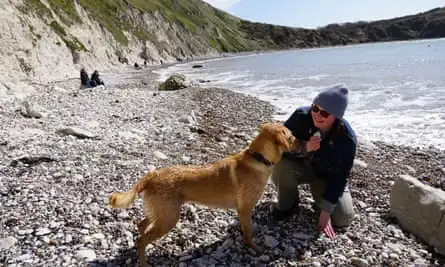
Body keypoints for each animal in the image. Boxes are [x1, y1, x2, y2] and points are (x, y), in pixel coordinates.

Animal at [109, 122, 300, 266]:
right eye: (292, 136)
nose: (305, 142)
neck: (258, 158)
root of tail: (150, 176)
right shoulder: (245, 209)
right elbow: (249, 232)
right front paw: (253, 247)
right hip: (169, 217)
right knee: (141, 240)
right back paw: (144, 262)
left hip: (161, 212)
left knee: (141, 226)